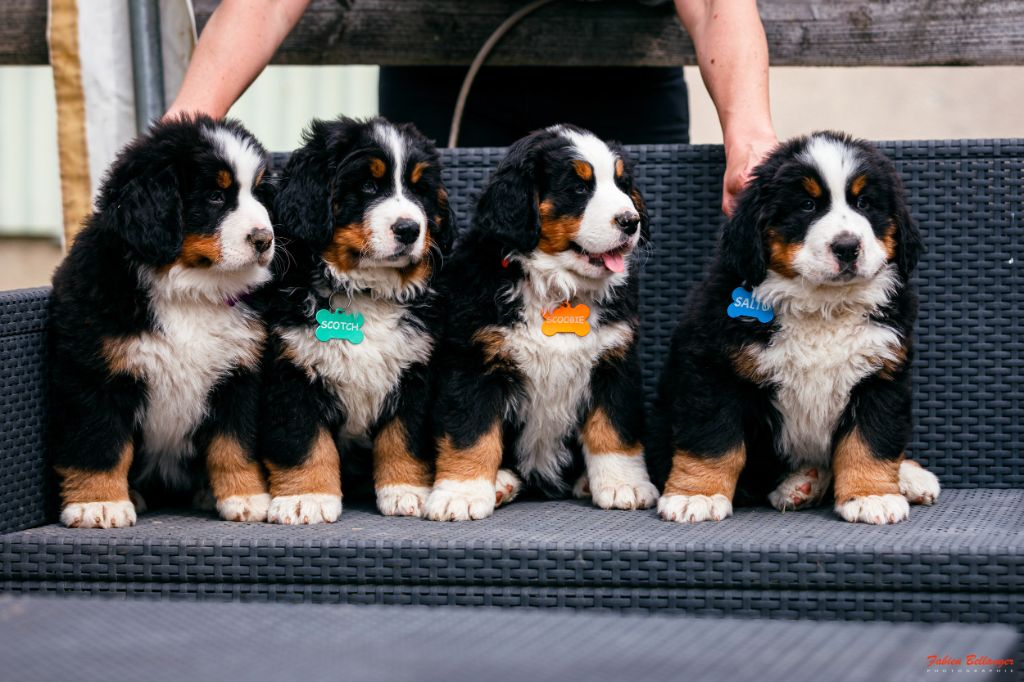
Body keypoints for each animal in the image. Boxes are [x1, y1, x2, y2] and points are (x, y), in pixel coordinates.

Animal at [50, 115, 276, 524]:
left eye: (260, 194)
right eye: (215, 197)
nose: (264, 239)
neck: (188, 290)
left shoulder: (240, 374)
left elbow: (235, 442)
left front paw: (246, 496)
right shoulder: (95, 372)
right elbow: (99, 440)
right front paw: (99, 503)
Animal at [262, 116, 454, 522]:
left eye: (419, 191)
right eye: (367, 186)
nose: (410, 229)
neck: (367, 293)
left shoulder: (415, 374)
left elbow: (403, 438)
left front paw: (405, 490)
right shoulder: (290, 373)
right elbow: (305, 441)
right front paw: (306, 497)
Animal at [421, 124, 655, 520]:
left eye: (623, 184)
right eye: (579, 188)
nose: (630, 221)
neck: (557, 288)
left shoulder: (615, 363)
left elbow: (614, 429)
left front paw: (625, 484)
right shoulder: (473, 365)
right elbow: (471, 434)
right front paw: (462, 493)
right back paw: (500, 483)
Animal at [651, 133, 937, 524]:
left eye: (864, 203)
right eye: (806, 205)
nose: (847, 247)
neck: (823, 307)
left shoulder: (881, 374)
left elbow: (870, 440)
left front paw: (872, 495)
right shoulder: (714, 370)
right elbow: (713, 439)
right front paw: (697, 494)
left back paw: (907, 477)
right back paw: (802, 484)